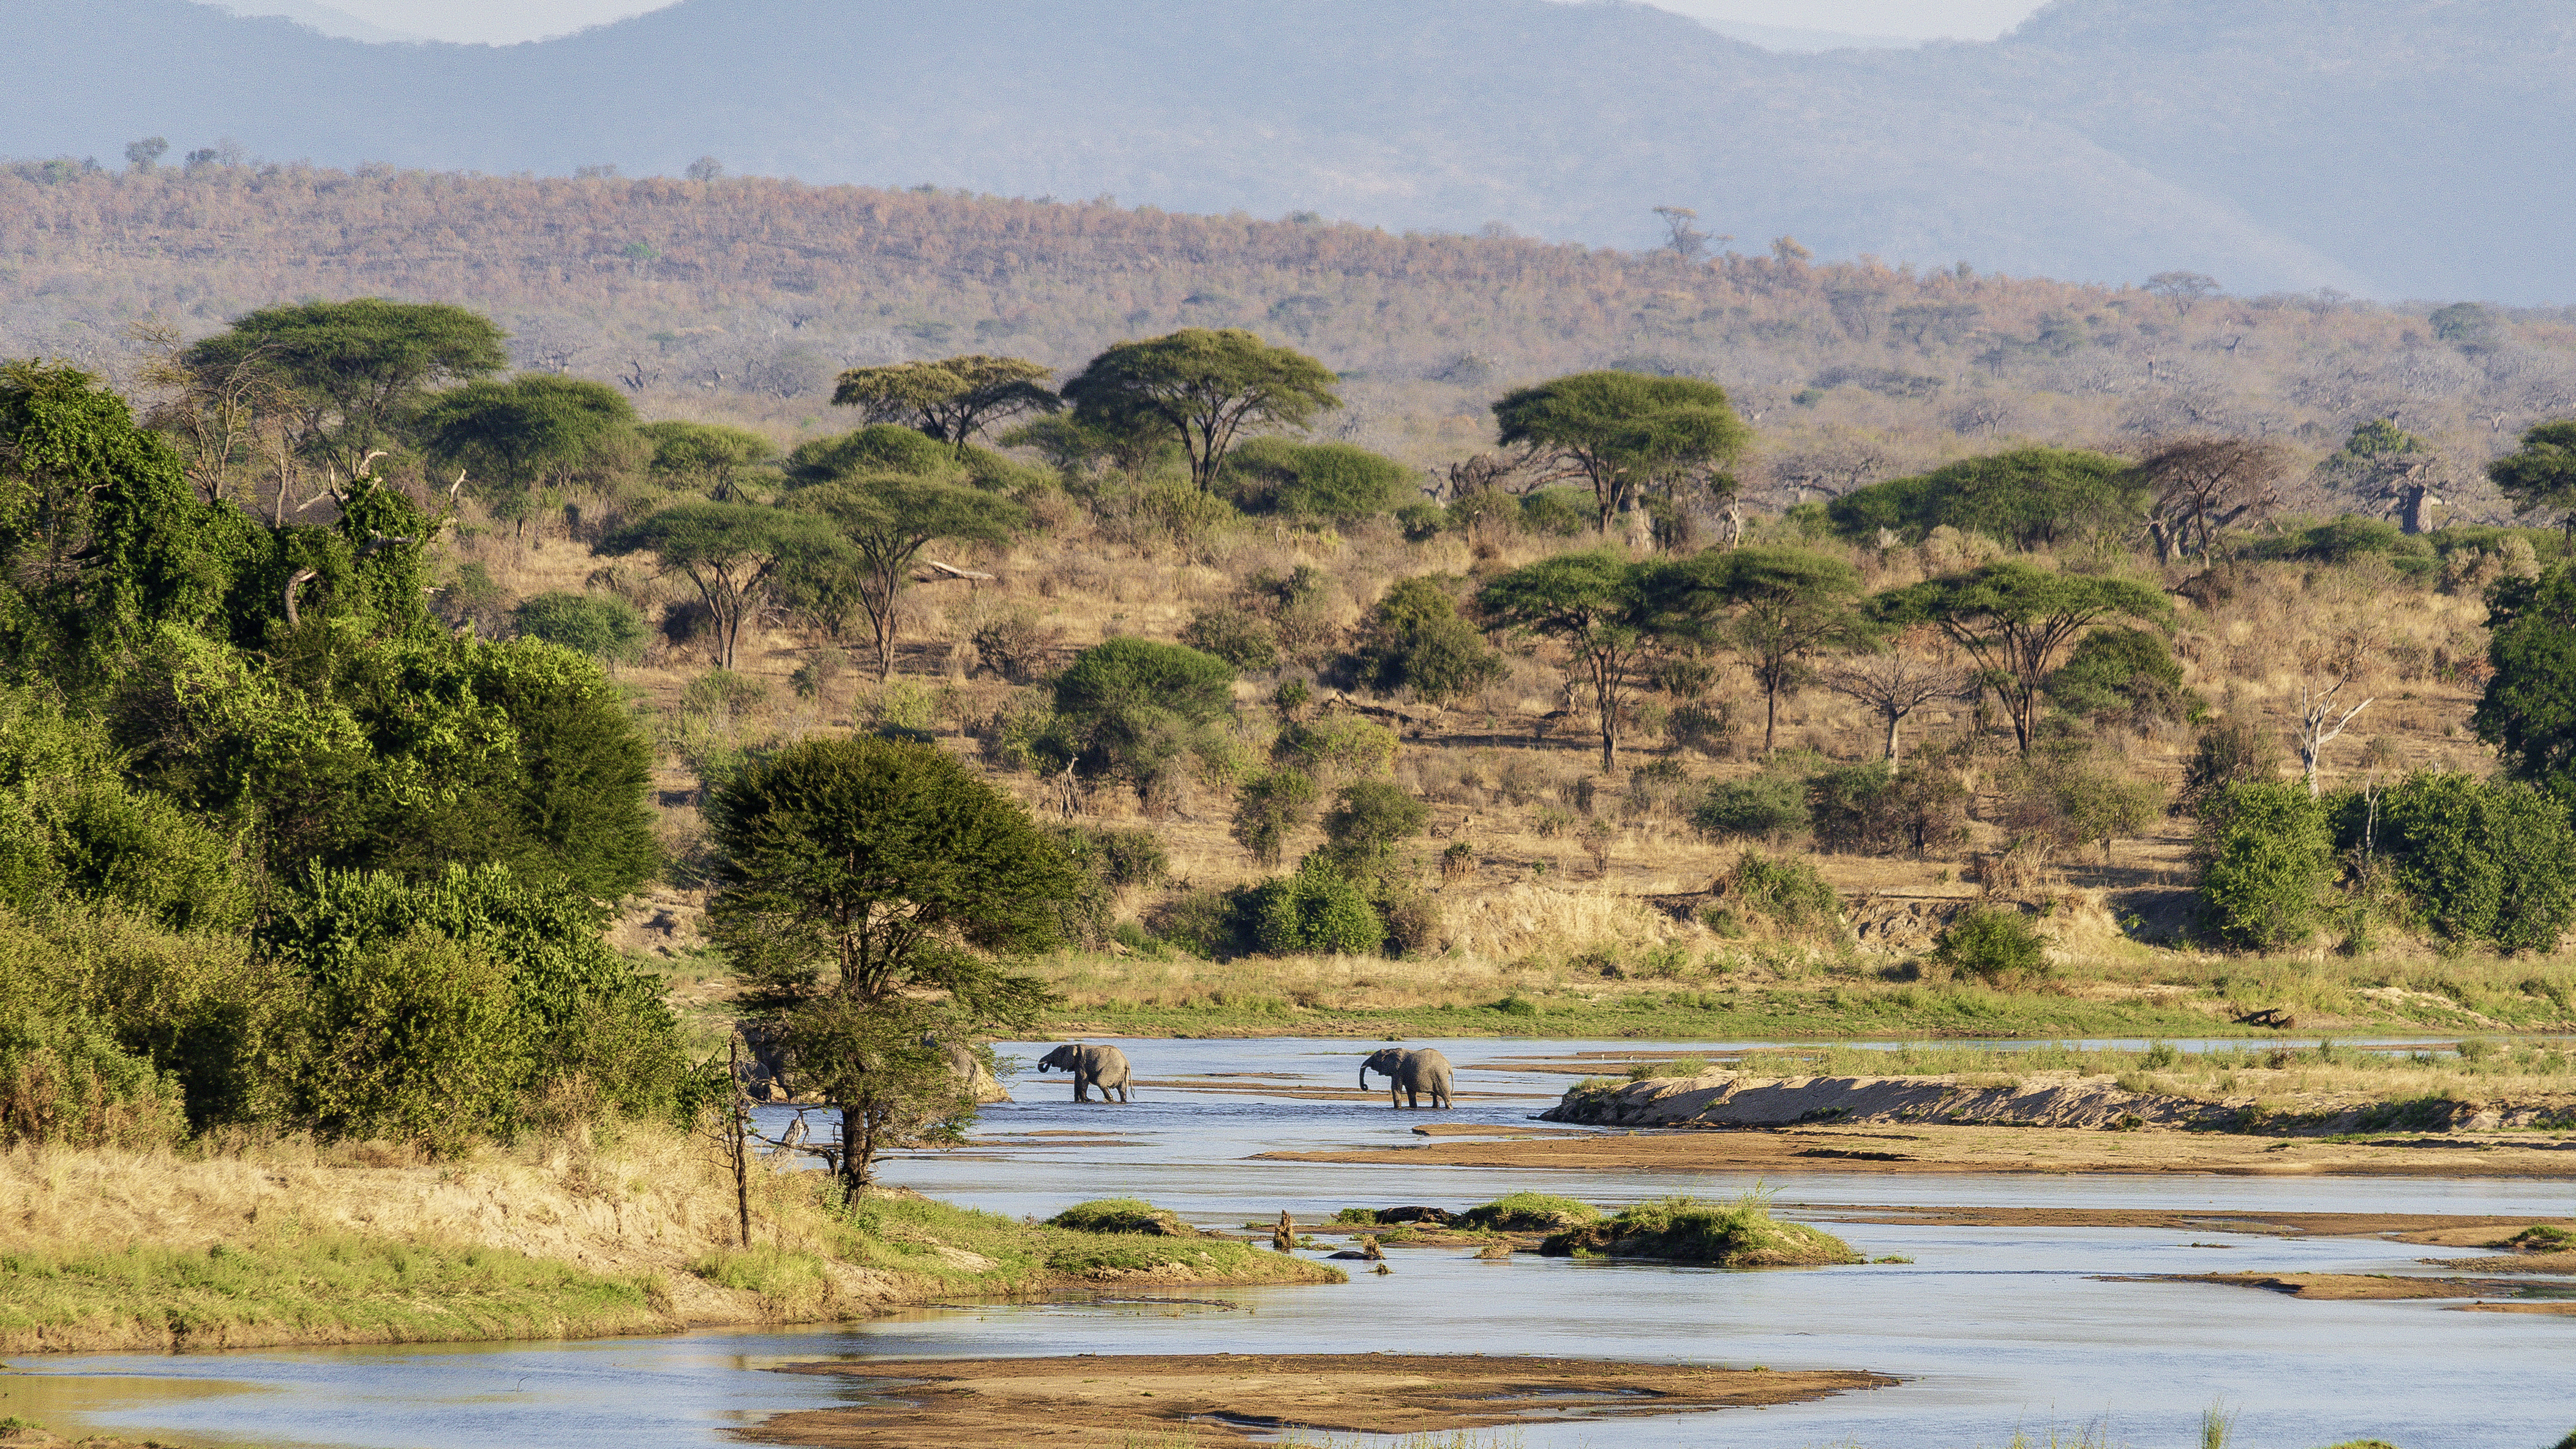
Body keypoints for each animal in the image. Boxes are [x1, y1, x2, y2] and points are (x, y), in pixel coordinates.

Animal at [1036, 1043, 1133, 1102]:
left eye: (1055, 1054)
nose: (1048, 1063)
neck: (1071, 1046)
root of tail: (1126, 1062)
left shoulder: (1081, 1062)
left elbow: (1082, 1080)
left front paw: (1089, 1100)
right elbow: (1077, 1081)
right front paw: (1078, 1101)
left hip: (1111, 1069)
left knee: (1100, 1082)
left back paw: (1111, 1100)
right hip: (1122, 1073)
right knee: (1122, 1089)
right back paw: (1122, 1101)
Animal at [1360, 1047, 1453, 1109]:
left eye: (1374, 1059)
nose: (1366, 1086)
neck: (1390, 1051)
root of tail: (1449, 1067)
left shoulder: (1398, 1071)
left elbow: (1395, 1088)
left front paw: (1398, 1108)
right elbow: (1410, 1091)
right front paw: (1413, 1107)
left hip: (1440, 1076)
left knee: (1445, 1096)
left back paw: (1450, 1108)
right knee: (1435, 1095)